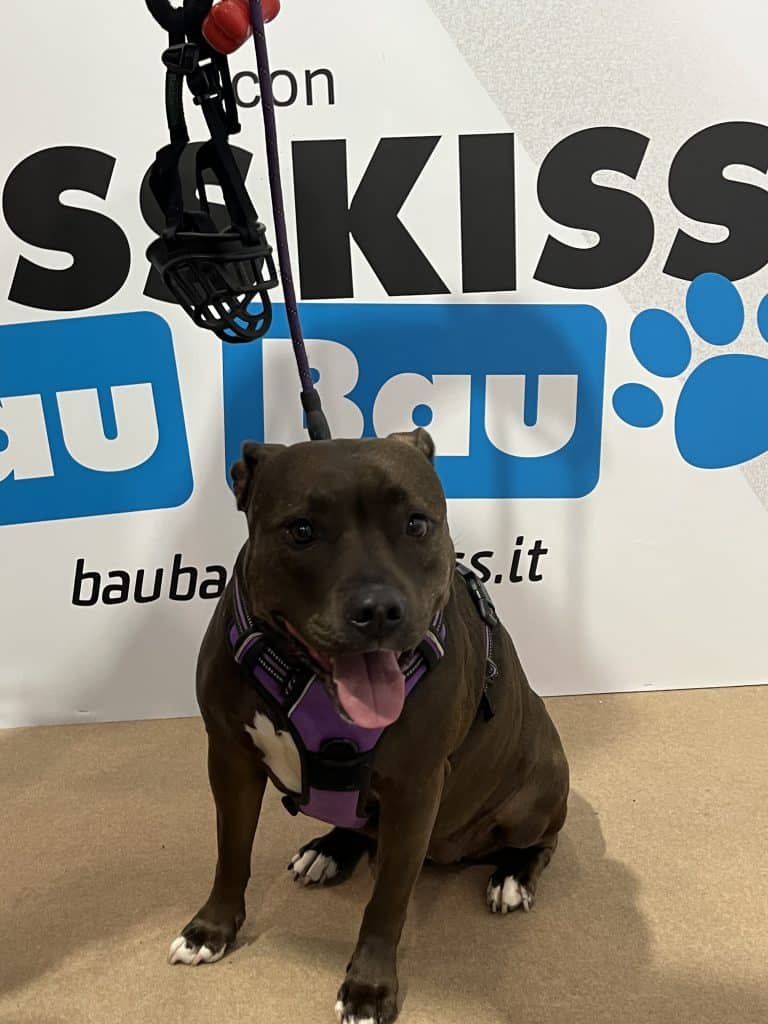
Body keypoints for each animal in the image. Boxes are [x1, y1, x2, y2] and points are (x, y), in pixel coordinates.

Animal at [169, 429, 569, 1024]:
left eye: (417, 524)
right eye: (302, 530)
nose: (379, 609)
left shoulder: (415, 790)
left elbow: (387, 902)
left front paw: (369, 987)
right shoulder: (230, 758)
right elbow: (231, 852)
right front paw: (211, 929)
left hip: (537, 792)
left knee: (544, 839)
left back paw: (513, 876)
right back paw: (330, 849)